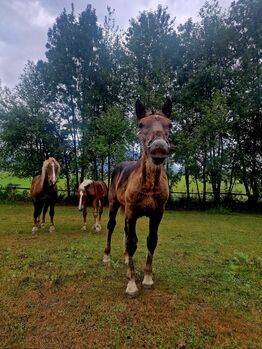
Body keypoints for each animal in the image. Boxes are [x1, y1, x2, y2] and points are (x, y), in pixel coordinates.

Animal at [102, 97, 172, 296]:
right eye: (141, 124)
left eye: (170, 124)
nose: (158, 148)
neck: (148, 185)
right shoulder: (132, 212)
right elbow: (132, 243)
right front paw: (132, 285)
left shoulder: (157, 214)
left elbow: (151, 241)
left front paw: (147, 278)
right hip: (114, 204)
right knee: (111, 226)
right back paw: (107, 256)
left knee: (126, 233)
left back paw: (126, 260)